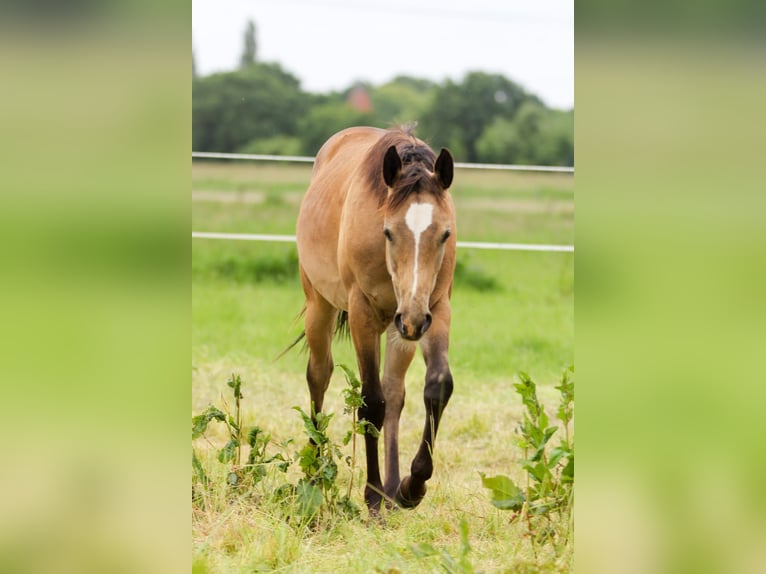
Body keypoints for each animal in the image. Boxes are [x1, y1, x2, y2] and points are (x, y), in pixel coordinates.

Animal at [295, 125, 457, 513]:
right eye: (388, 232)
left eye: (444, 233)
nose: (413, 317)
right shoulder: (363, 314)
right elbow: (371, 403)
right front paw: (371, 498)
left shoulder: (435, 309)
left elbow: (436, 387)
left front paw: (412, 487)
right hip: (321, 307)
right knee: (319, 376)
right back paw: (315, 475)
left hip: (402, 330)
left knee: (395, 393)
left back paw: (394, 488)